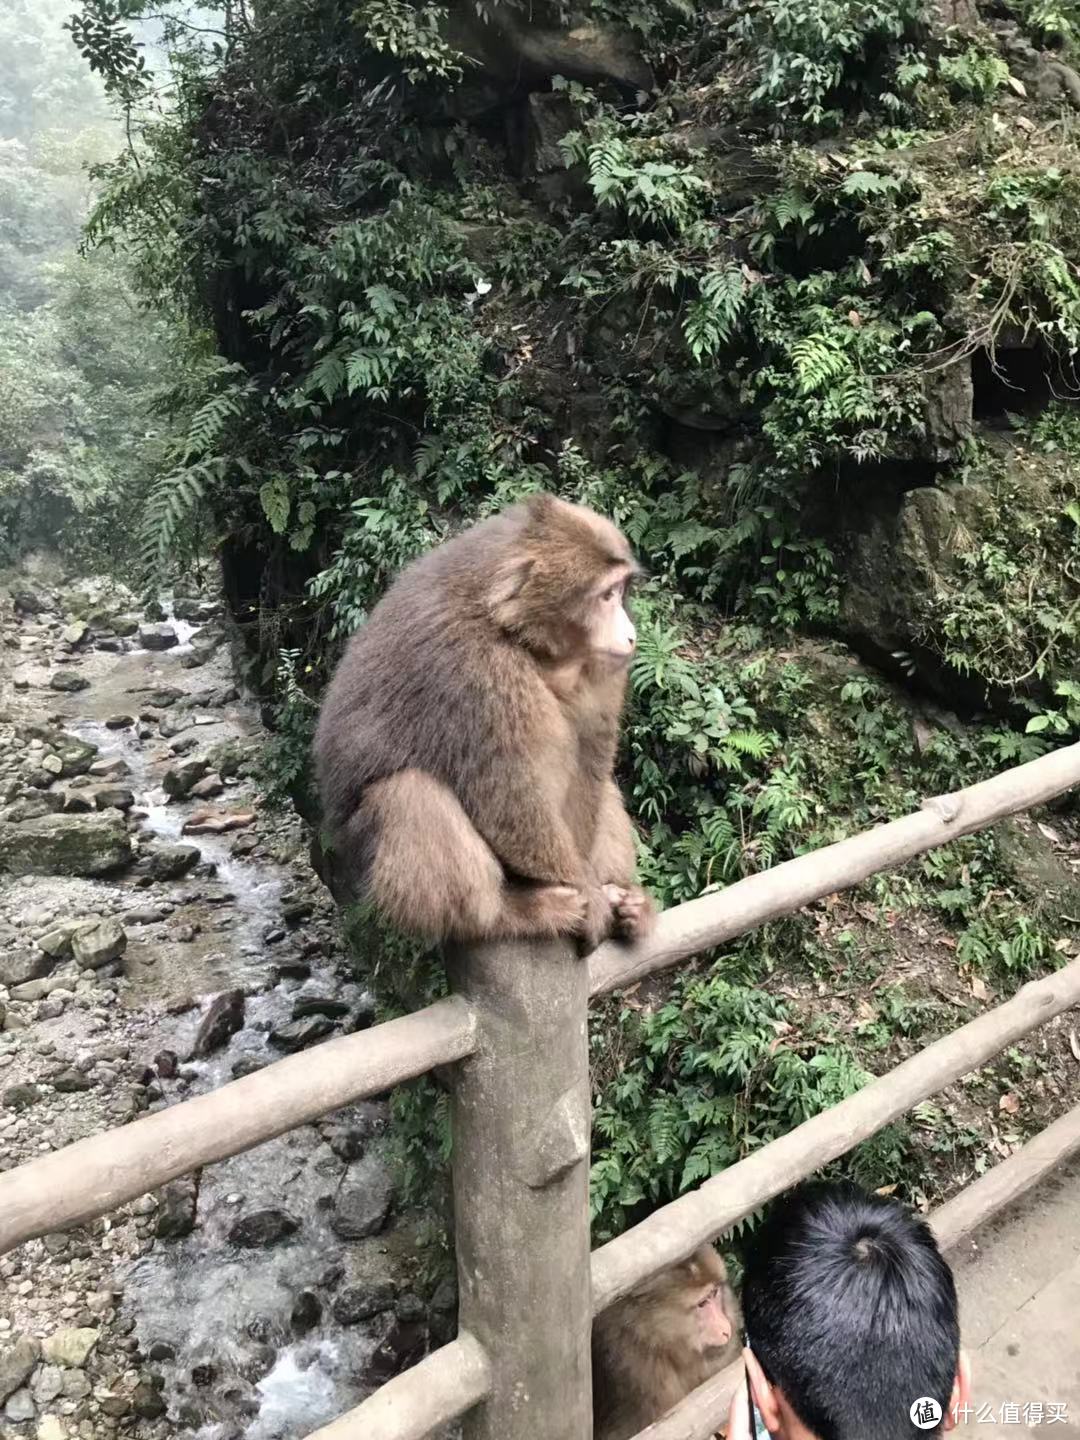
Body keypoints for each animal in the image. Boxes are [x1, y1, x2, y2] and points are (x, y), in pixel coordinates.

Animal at [308, 489, 656, 950]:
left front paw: (603, 890)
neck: (515, 631)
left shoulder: (599, 668)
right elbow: (506, 794)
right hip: (358, 860)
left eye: (619, 592)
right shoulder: (473, 669)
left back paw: (632, 903)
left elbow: (589, 761)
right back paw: (505, 916)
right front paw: (589, 894)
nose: (630, 634)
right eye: (604, 596)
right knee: (409, 793)